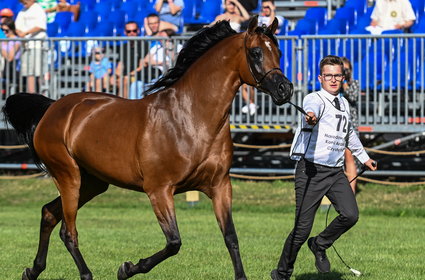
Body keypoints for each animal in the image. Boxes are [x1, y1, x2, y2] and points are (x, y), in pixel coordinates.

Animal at [3, 17, 294, 280]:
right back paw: (85, 274)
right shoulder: (159, 190)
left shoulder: (220, 186)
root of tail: (52, 108)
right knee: (68, 231)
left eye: (279, 52)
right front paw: (127, 268)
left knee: (49, 214)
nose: (285, 89)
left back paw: (32, 270)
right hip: (69, 177)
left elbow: (231, 237)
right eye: (256, 52)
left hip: (93, 183)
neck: (190, 117)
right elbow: (174, 242)